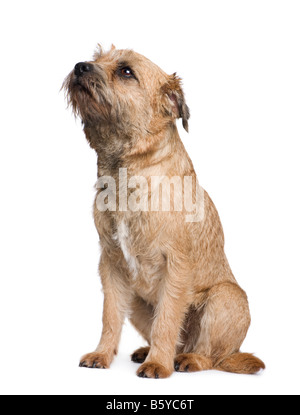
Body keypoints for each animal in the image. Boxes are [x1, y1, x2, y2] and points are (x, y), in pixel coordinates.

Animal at [63, 44, 264, 378]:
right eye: (96, 57)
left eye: (126, 71)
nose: (80, 66)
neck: (126, 172)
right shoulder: (111, 264)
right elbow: (110, 316)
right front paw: (102, 354)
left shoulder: (176, 266)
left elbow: (167, 320)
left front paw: (158, 364)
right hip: (138, 303)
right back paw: (151, 352)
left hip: (225, 298)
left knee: (210, 355)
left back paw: (186, 360)